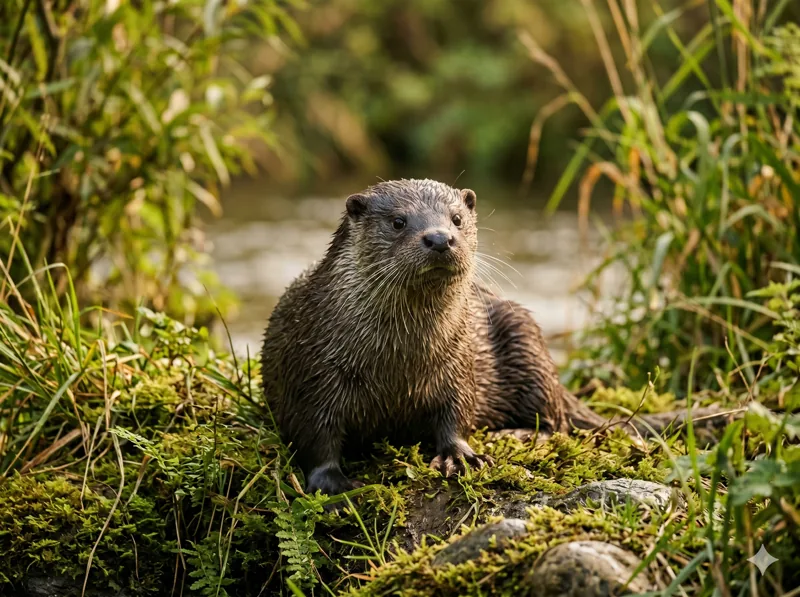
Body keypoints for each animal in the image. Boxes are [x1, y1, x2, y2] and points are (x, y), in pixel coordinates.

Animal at [260, 180, 662, 495]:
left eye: (456, 218)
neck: (399, 365)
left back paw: (513, 434)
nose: (440, 238)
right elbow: (315, 435)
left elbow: (456, 413)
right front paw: (333, 481)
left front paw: (460, 456)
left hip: (526, 341)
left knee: (556, 422)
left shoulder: (459, 362)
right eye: (398, 221)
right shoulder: (313, 373)